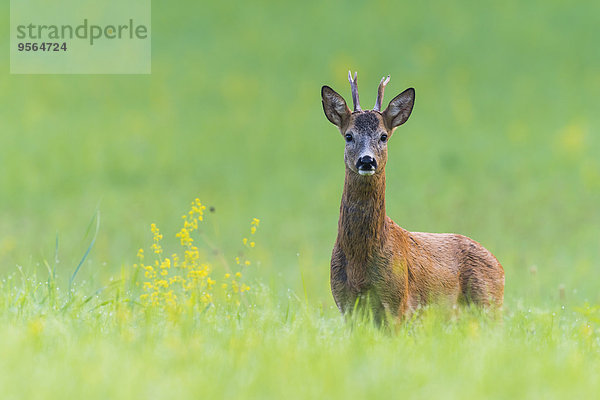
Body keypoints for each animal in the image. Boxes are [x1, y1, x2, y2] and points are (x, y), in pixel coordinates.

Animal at [322, 72, 504, 322]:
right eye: (349, 136)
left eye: (384, 136)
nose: (367, 161)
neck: (360, 261)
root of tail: (500, 266)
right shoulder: (344, 303)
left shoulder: (397, 301)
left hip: (488, 303)